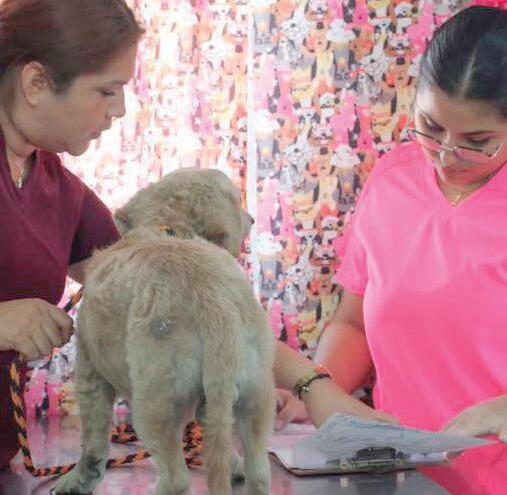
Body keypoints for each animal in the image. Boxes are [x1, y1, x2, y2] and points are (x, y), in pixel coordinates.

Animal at [52, 168, 275, 495]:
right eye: (236, 198)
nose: (253, 219)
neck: (170, 228)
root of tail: (215, 308)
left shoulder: (90, 369)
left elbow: (92, 439)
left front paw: (79, 478)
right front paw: (233, 465)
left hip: (157, 399)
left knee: (177, 479)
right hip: (256, 391)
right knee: (258, 471)